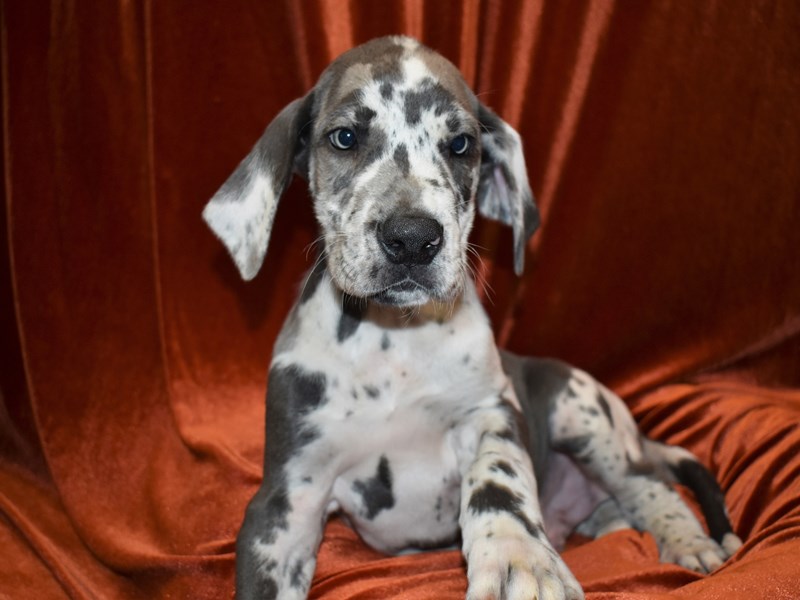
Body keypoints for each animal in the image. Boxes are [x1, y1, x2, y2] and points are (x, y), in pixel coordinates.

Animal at [203, 36, 740, 600]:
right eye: (345, 137)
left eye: (460, 144)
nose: (412, 238)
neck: (392, 343)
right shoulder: (286, 496)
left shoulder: (492, 413)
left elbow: (497, 479)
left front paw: (519, 557)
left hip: (587, 417)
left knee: (651, 486)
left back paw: (687, 540)